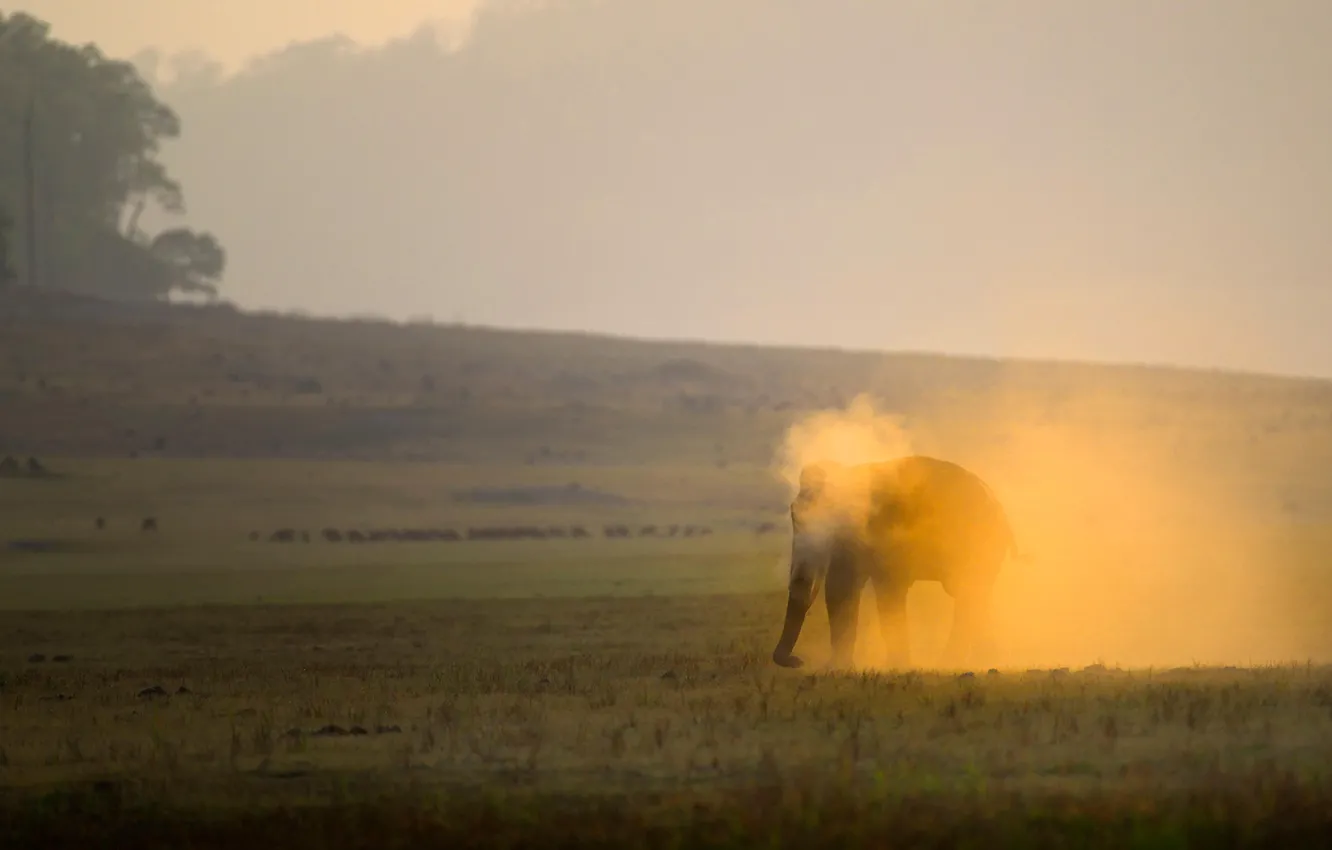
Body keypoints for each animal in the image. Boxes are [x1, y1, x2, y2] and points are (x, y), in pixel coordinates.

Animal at [771, 456, 1017, 671]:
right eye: (793, 516)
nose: (797, 661)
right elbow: (845, 588)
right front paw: (838, 668)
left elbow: (872, 588)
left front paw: (894, 667)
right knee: (973, 595)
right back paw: (985, 659)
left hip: (979, 542)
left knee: (967, 593)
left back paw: (949, 663)